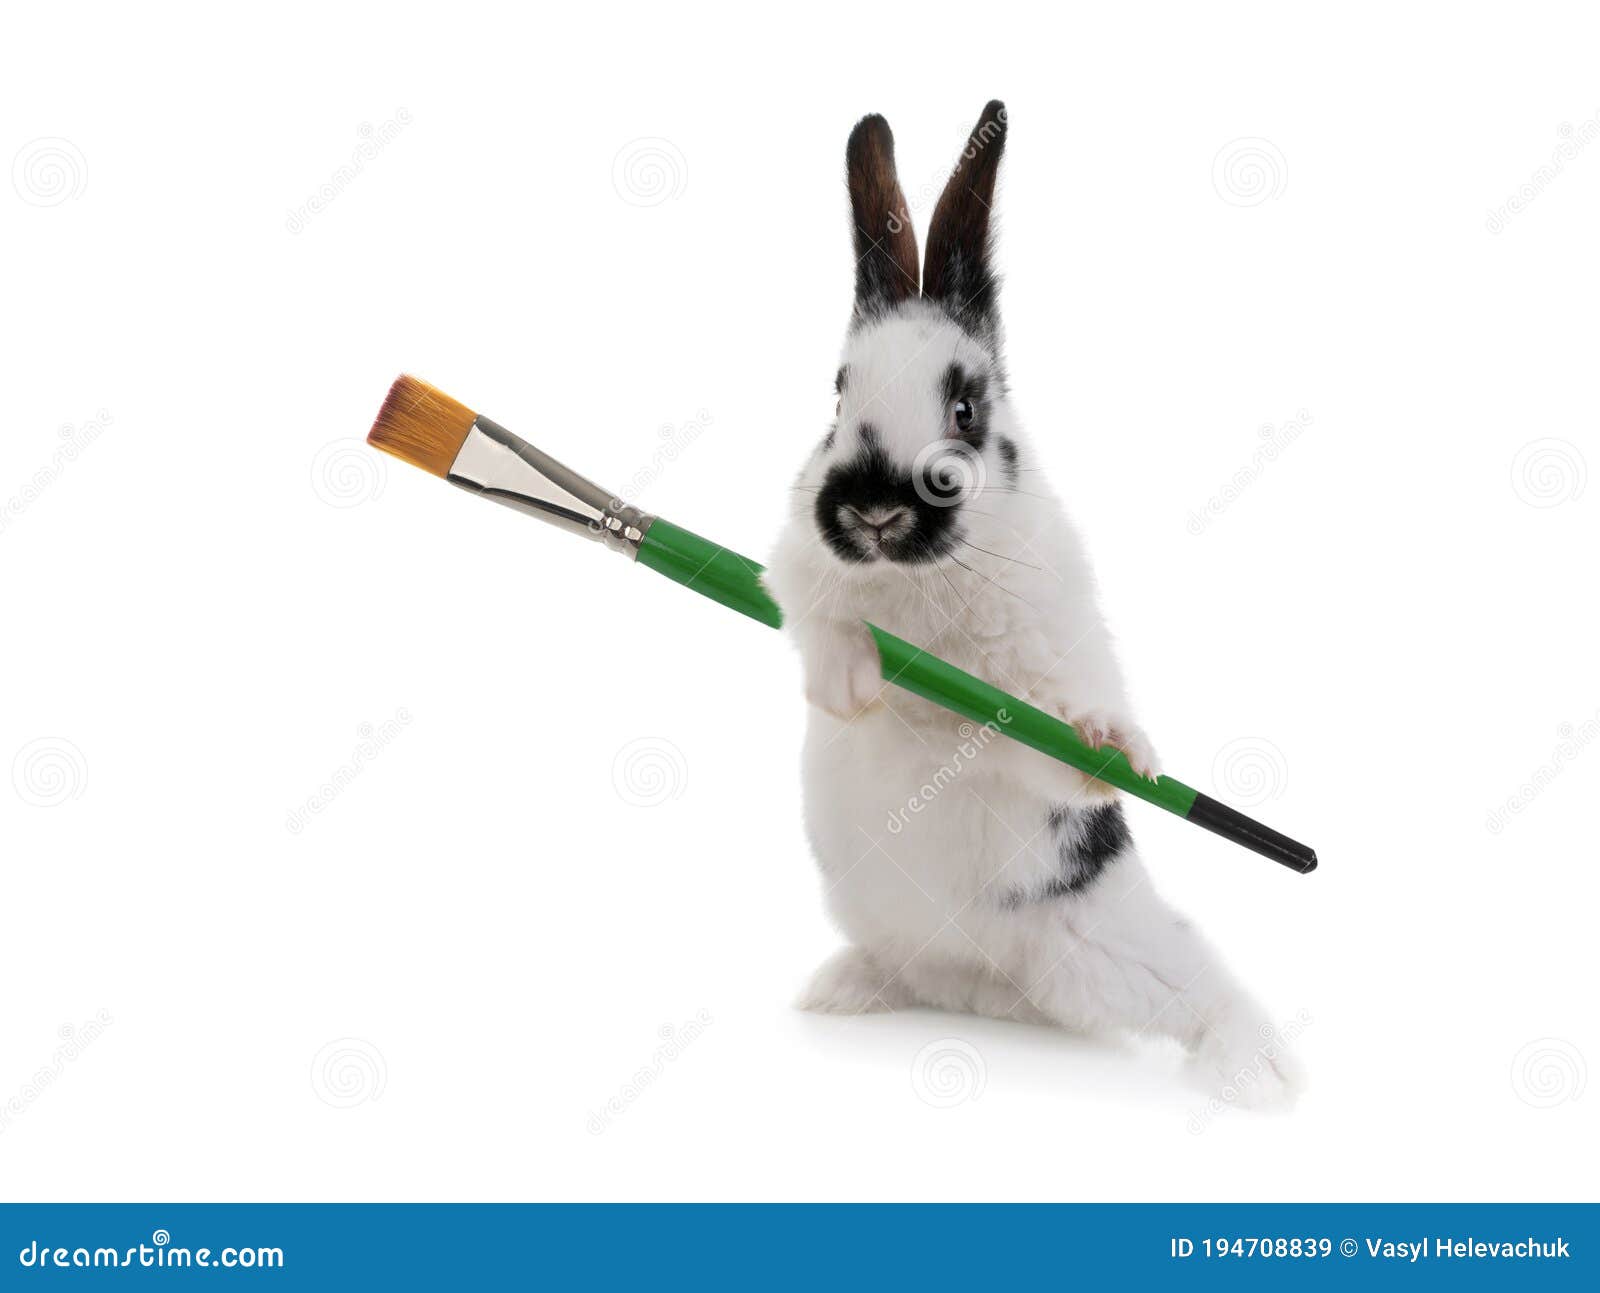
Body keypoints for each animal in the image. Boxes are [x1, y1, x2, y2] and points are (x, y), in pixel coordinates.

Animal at [761, 101, 1304, 1109]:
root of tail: (982, 986)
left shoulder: (1041, 664)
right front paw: (852, 682)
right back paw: (839, 990)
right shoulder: (794, 564)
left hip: (1118, 946)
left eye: (966, 408)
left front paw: (1114, 750)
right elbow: (816, 616)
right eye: (840, 394)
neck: (919, 583)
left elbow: (1050, 737)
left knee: (1205, 990)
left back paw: (1263, 1074)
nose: (876, 511)